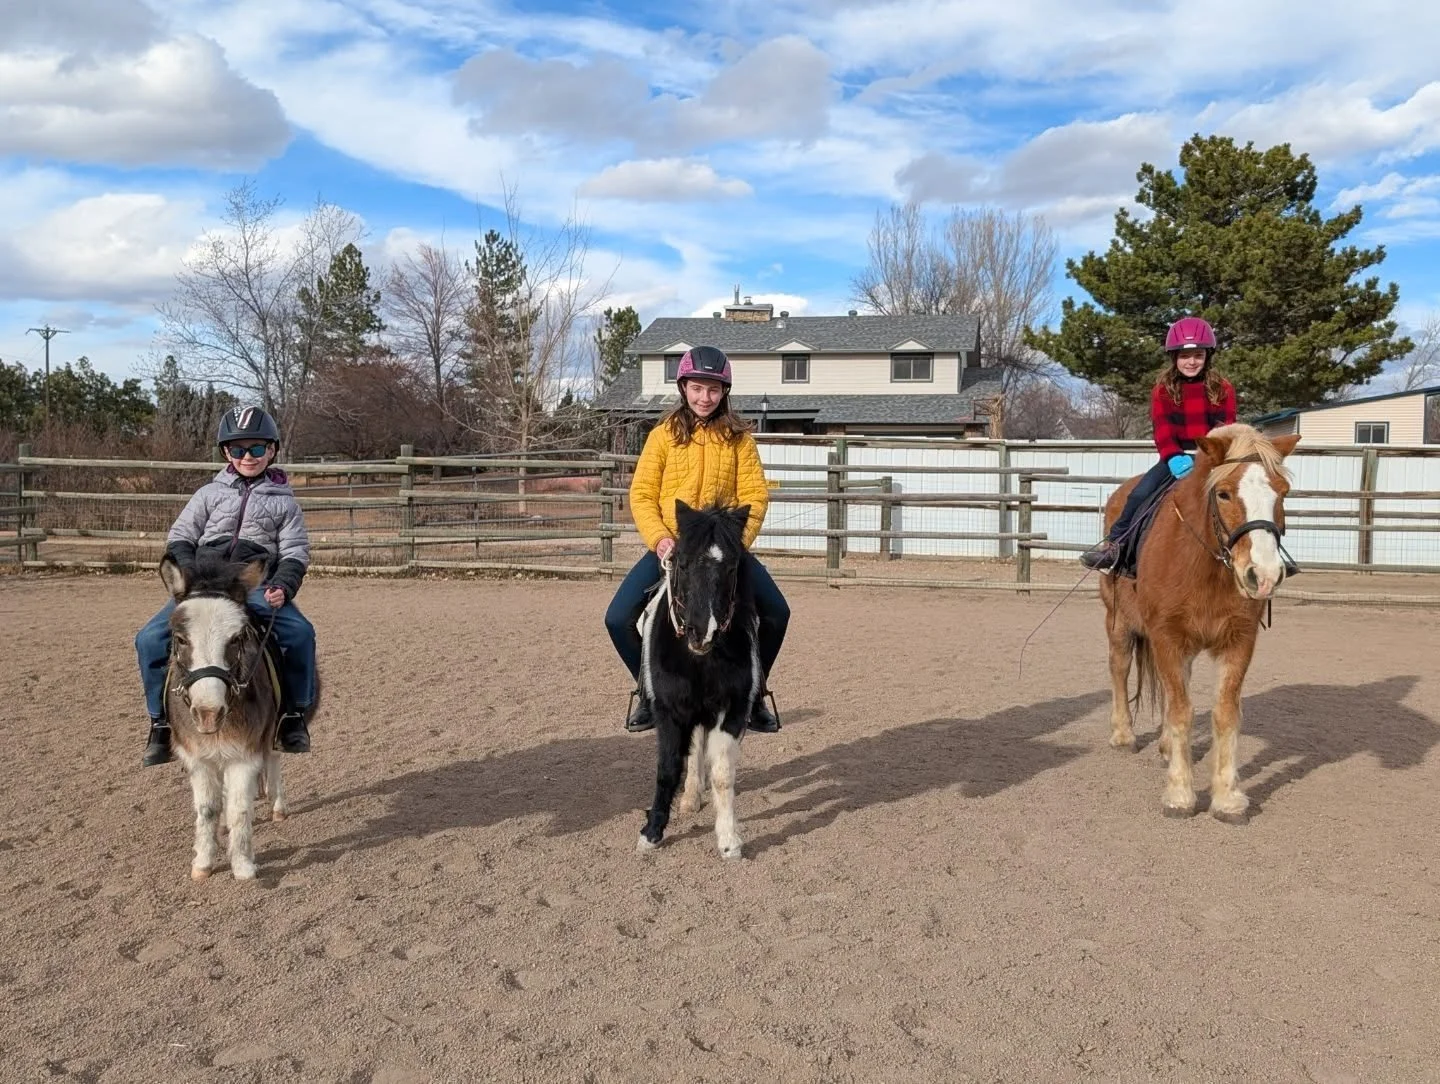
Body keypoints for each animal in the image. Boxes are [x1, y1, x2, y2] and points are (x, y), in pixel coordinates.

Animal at [158, 549, 307, 880]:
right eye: (180, 638)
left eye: (237, 638)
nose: (208, 713)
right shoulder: (198, 758)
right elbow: (208, 809)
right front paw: (203, 863)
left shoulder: (245, 754)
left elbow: (241, 808)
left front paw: (242, 866)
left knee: (274, 759)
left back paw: (278, 806)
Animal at [635, 501, 760, 859]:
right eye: (683, 562)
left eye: (731, 567)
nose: (702, 631)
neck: (700, 660)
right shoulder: (669, 711)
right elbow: (667, 769)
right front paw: (651, 834)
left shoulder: (731, 710)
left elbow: (722, 774)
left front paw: (729, 841)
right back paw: (690, 798)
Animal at [1101, 424, 1301, 822]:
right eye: (1223, 494)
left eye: (1282, 492)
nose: (1264, 575)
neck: (1205, 566)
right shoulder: (1166, 636)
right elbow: (1182, 711)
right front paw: (1180, 794)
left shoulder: (1239, 641)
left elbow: (1224, 713)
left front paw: (1227, 797)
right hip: (1118, 622)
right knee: (1120, 668)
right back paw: (1124, 735)